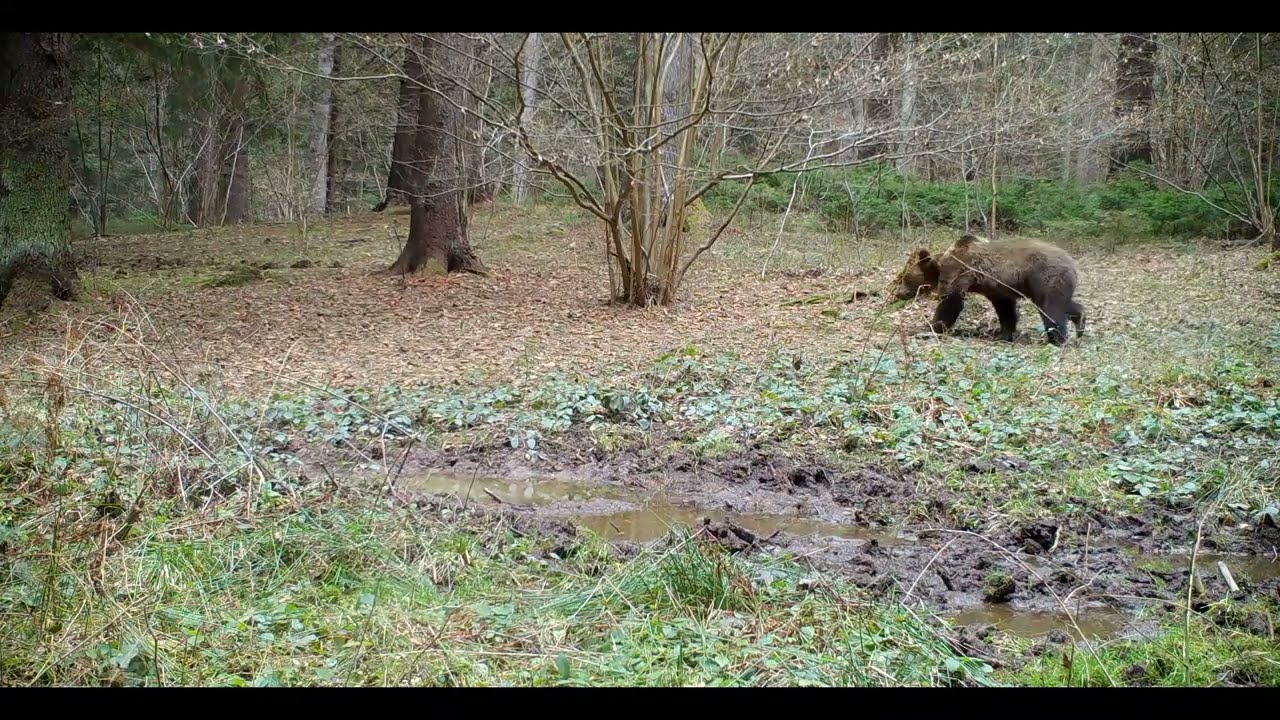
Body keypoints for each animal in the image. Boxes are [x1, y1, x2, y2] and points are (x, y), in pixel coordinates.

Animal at [892, 233, 1086, 345]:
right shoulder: (996, 287)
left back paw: (1057, 338)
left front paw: (930, 327)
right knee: (1062, 304)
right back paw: (1080, 323)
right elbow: (1005, 309)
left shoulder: (959, 273)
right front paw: (1003, 334)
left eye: (904, 277)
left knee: (1050, 308)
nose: (898, 293)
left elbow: (950, 303)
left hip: (1045, 276)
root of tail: (1072, 262)